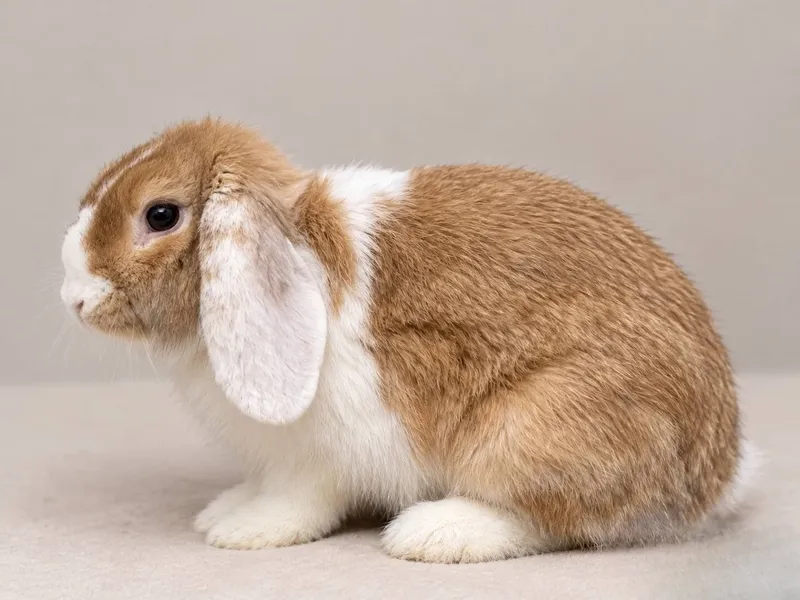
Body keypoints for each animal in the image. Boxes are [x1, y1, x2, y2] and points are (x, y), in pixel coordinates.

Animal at [59, 118, 755, 563]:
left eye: (161, 215)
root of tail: (716, 476)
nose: (75, 298)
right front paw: (224, 509)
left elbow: (299, 498)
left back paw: (435, 534)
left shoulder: (318, 456)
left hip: (533, 426)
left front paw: (246, 530)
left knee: (561, 519)